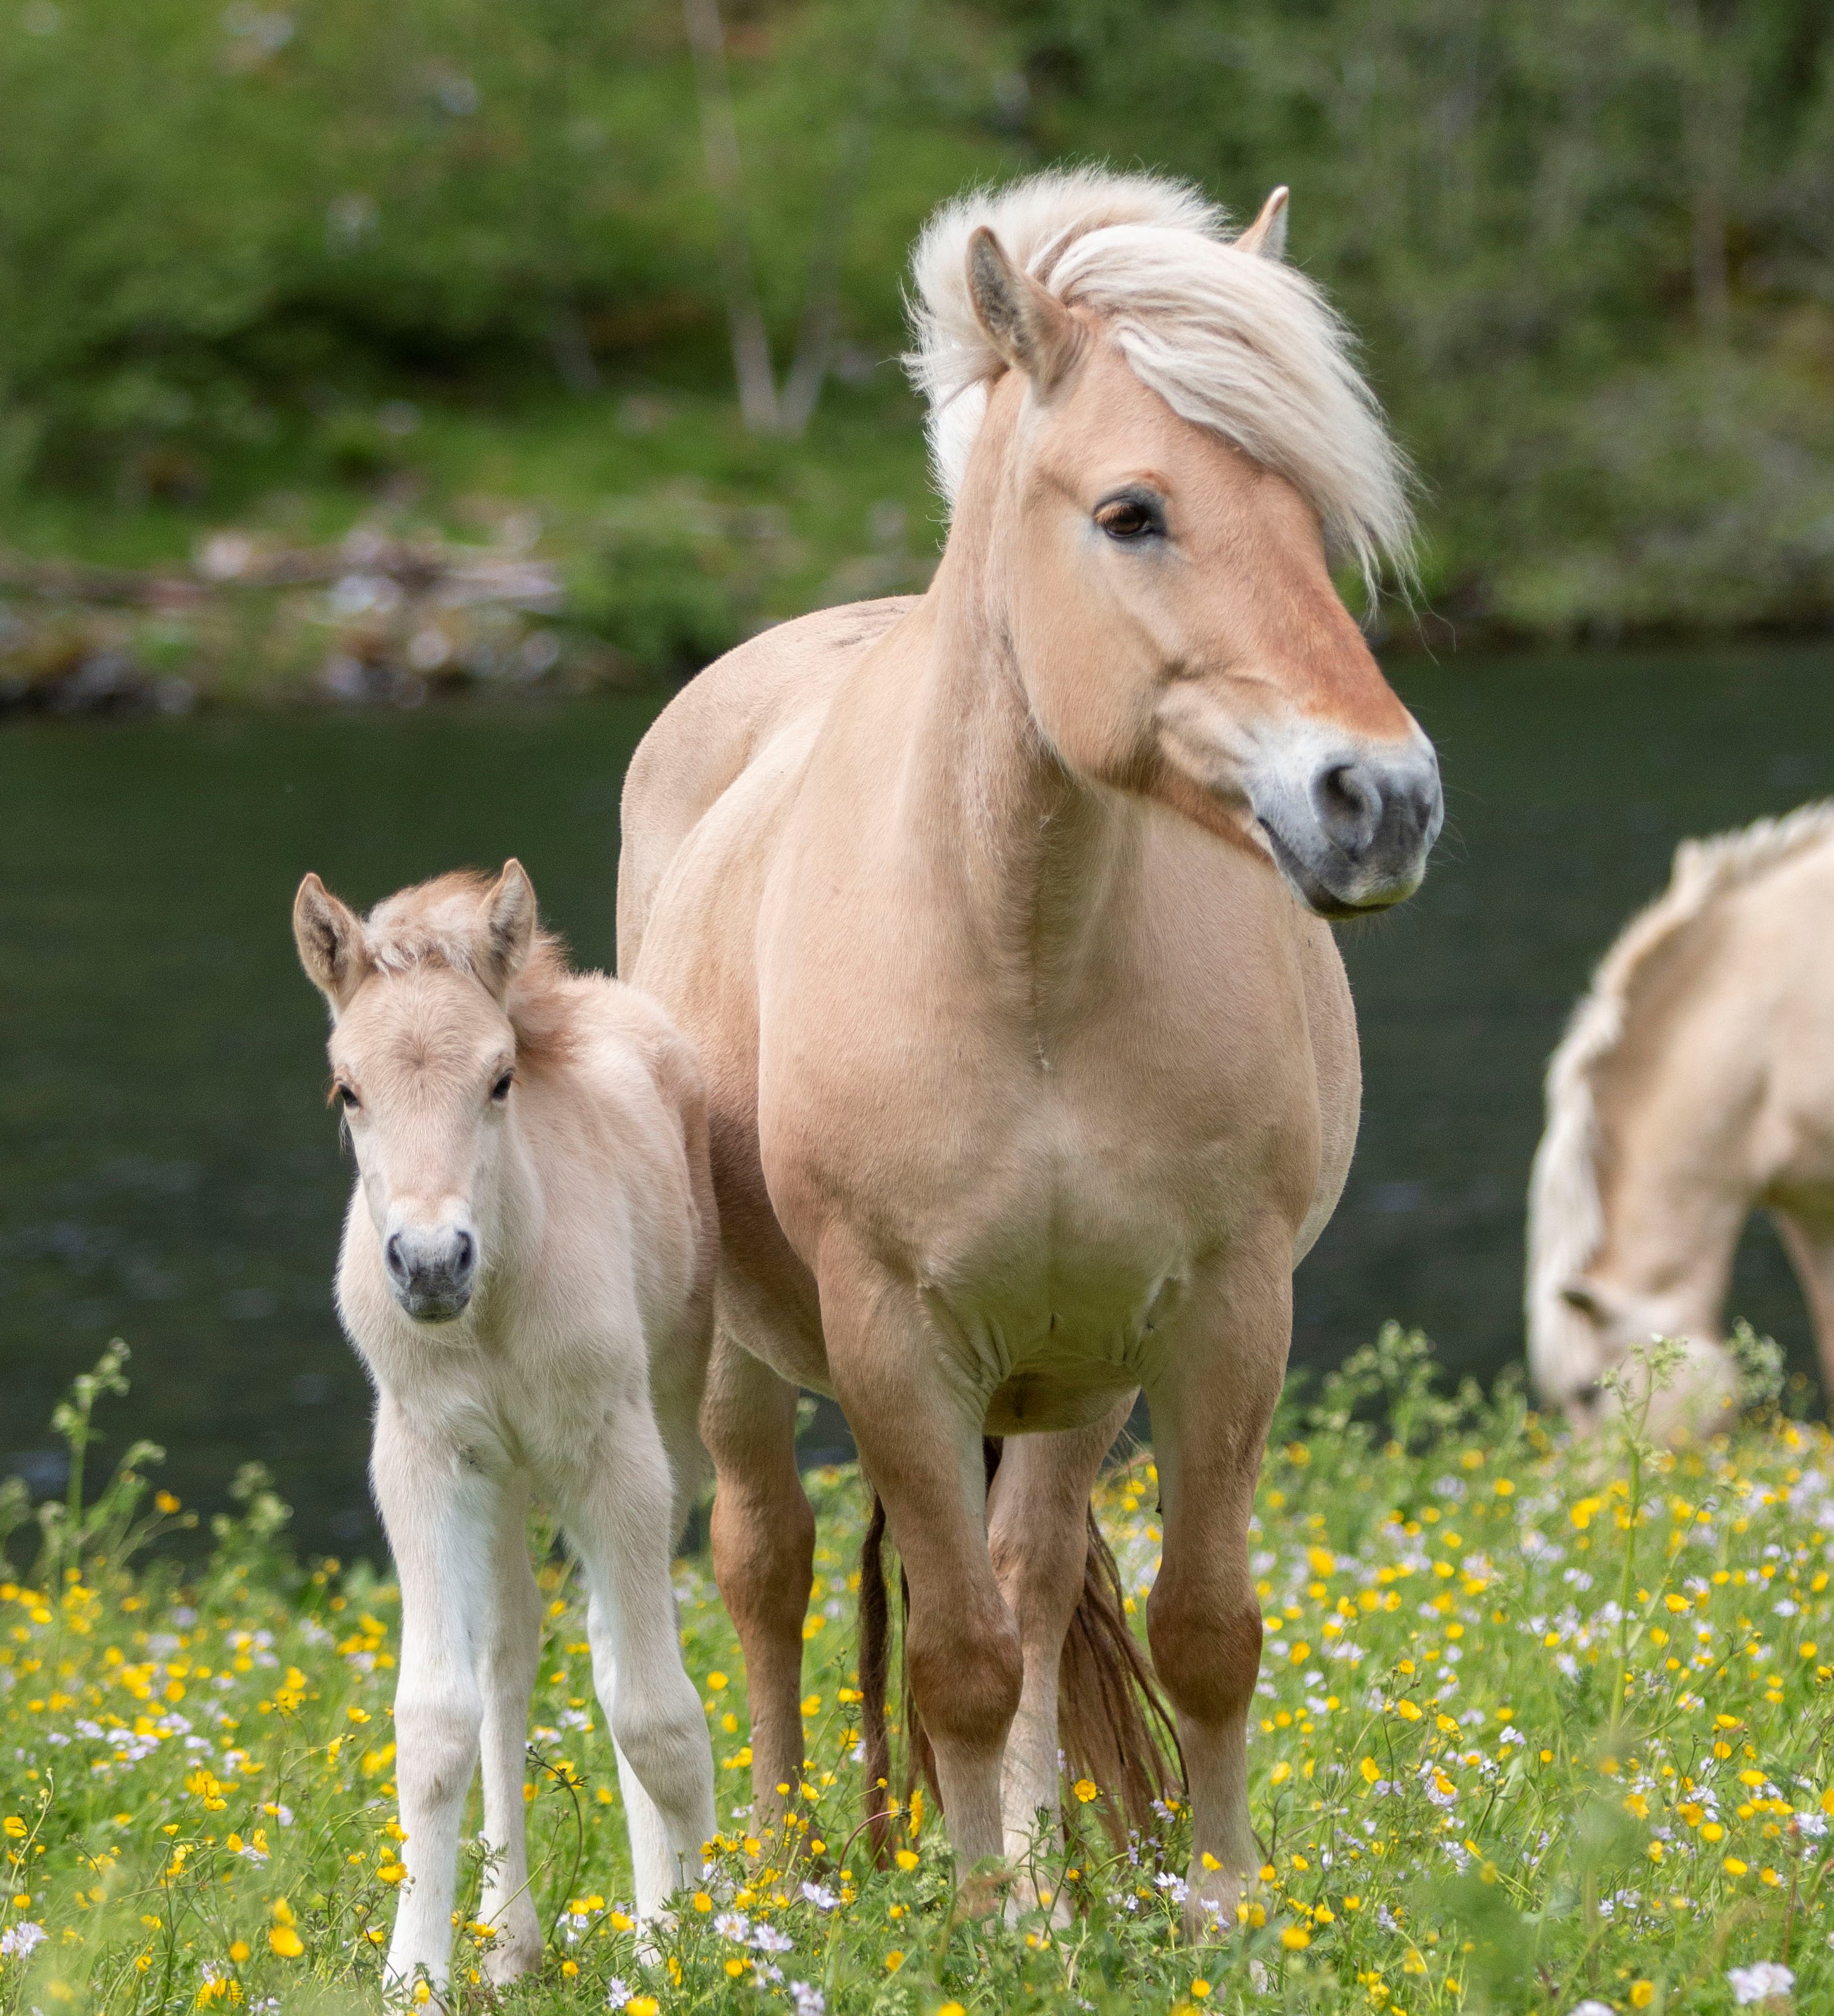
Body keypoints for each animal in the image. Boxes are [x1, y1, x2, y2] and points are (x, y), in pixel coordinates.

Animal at [624, 165, 1443, 1927]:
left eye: (1313, 520)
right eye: (1133, 513)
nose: (1382, 802)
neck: (1028, 961)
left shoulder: (1213, 1319)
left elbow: (1198, 1635)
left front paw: (1213, 1915)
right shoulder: (894, 1342)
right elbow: (955, 1662)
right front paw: (988, 1931)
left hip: (1073, 1387)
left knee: (1035, 1568)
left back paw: (1054, 1888)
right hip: (745, 1366)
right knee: (765, 1563)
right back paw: (785, 1877)